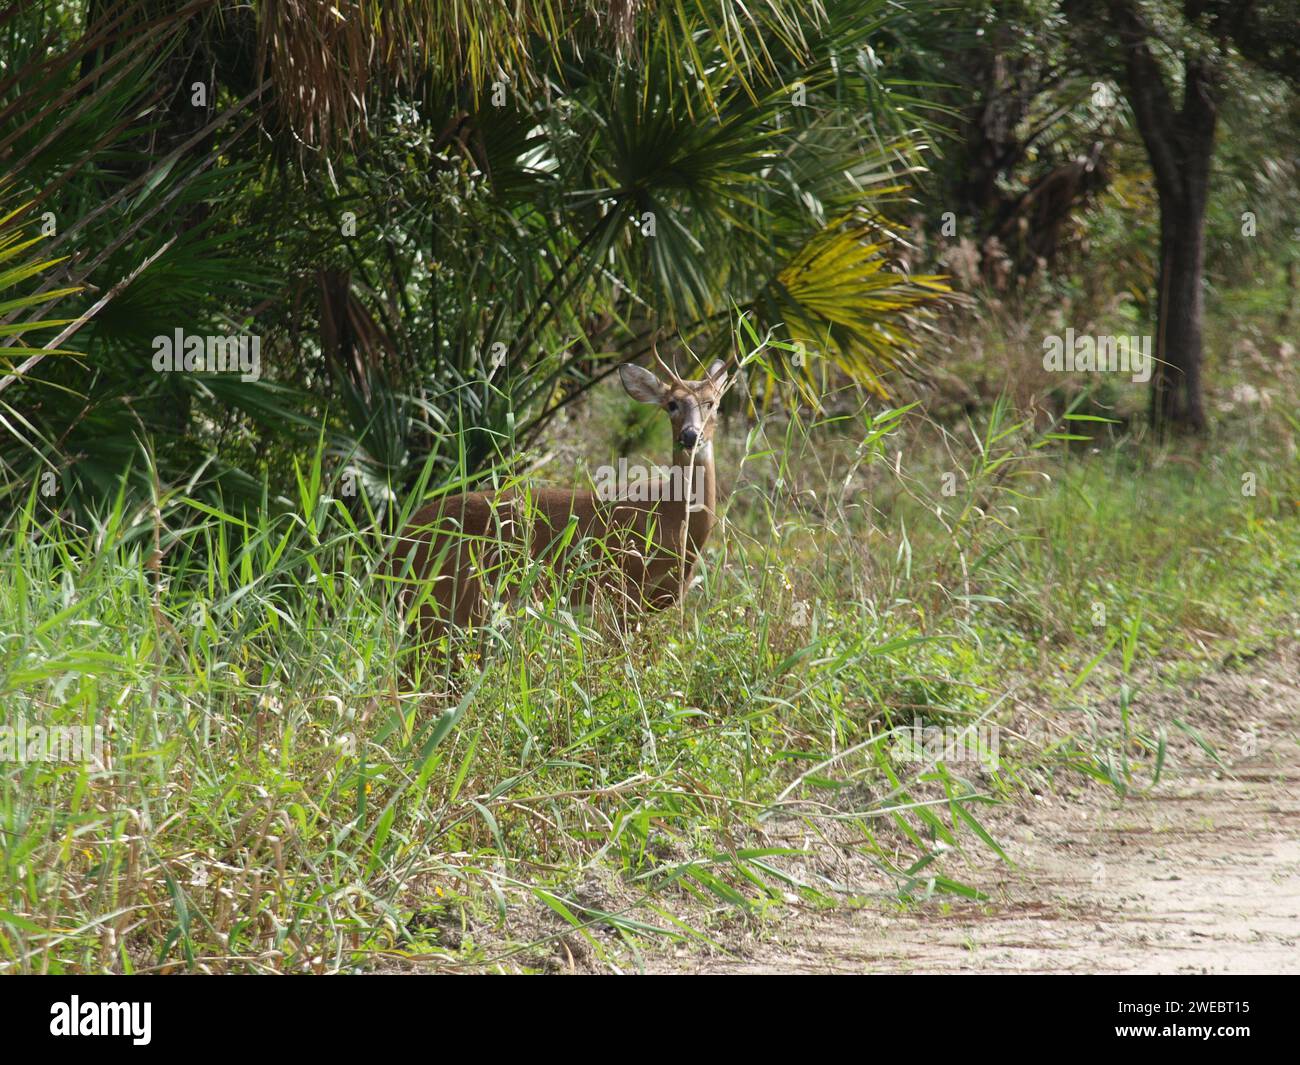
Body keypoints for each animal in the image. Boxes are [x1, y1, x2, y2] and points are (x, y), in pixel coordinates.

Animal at [387, 350, 733, 652]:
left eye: (712, 403)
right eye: (672, 404)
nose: (690, 435)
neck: (671, 516)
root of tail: (398, 542)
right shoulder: (624, 587)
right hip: (448, 598)